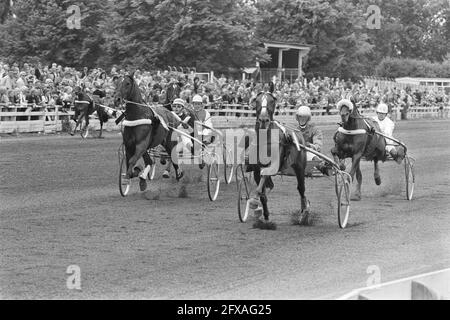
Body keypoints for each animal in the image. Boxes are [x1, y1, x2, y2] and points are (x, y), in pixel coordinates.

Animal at [246, 90, 310, 225]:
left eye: (272, 101)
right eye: (257, 101)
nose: (264, 119)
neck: (265, 141)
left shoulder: (274, 164)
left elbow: (263, 180)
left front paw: (254, 200)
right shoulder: (256, 169)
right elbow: (262, 193)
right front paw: (265, 216)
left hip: (300, 166)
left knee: (301, 189)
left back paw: (304, 213)